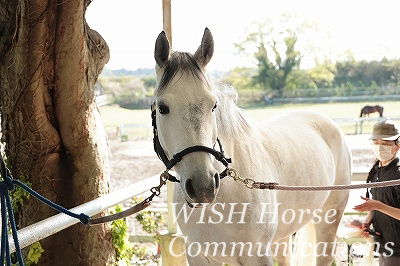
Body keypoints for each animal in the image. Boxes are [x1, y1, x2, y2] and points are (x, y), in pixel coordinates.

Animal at [152, 28, 350, 264]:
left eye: (214, 105)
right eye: (163, 108)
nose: (203, 187)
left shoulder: (257, 254)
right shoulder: (198, 254)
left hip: (328, 221)